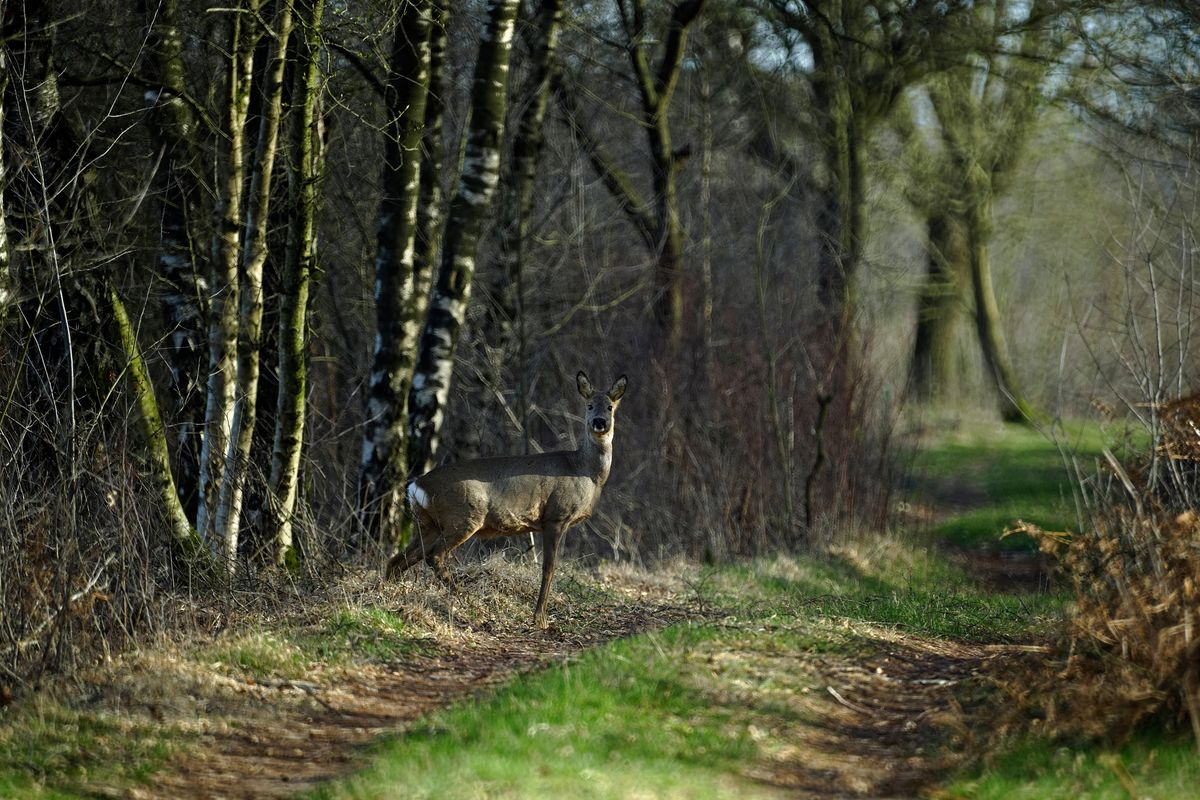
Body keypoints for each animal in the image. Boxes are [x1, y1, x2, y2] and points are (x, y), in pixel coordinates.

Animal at [386, 371, 633, 628]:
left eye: (610, 407)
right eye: (589, 405)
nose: (599, 422)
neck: (584, 471)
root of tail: (416, 485)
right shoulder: (555, 516)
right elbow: (549, 567)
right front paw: (539, 619)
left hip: (428, 524)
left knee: (399, 559)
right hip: (462, 516)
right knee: (433, 555)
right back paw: (468, 603)